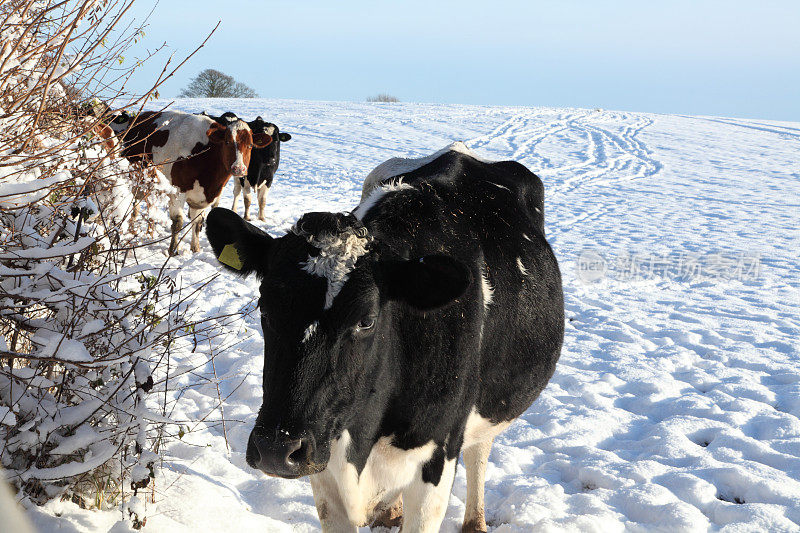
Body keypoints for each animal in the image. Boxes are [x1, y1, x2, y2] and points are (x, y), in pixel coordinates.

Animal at [117, 109, 270, 254]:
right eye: (227, 142)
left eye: (250, 145)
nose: (238, 168)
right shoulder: (177, 191)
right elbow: (178, 222)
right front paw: (173, 251)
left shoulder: (201, 196)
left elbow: (197, 222)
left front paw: (195, 249)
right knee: (133, 204)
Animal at [203, 142, 564, 532]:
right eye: (265, 309)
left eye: (366, 320)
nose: (276, 449)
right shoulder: (325, 462)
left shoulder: (436, 461)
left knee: (478, 452)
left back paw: (475, 522)